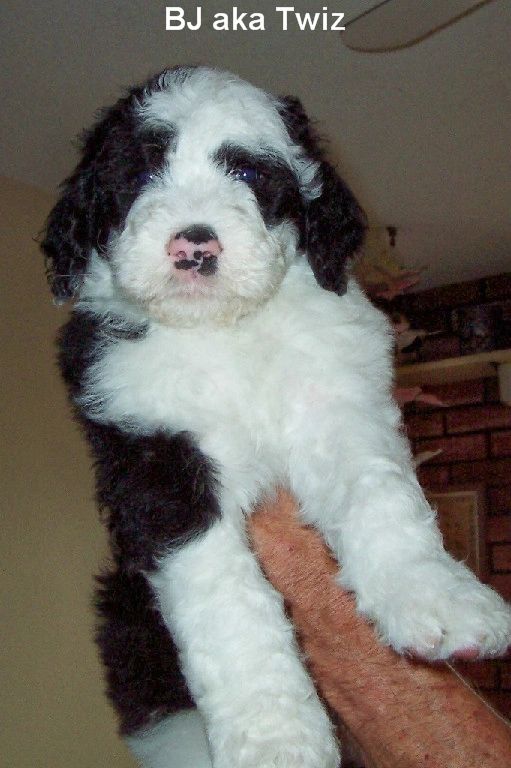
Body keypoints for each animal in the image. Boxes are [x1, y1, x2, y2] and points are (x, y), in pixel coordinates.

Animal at [43, 67, 511, 768]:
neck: (226, 333)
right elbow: (226, 600)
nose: (194, 244)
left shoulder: (338, 405)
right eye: (139, 172)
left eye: (249, 172)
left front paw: (439, 597)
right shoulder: (157, 463)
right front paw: (275, 735)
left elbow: (382, 495)